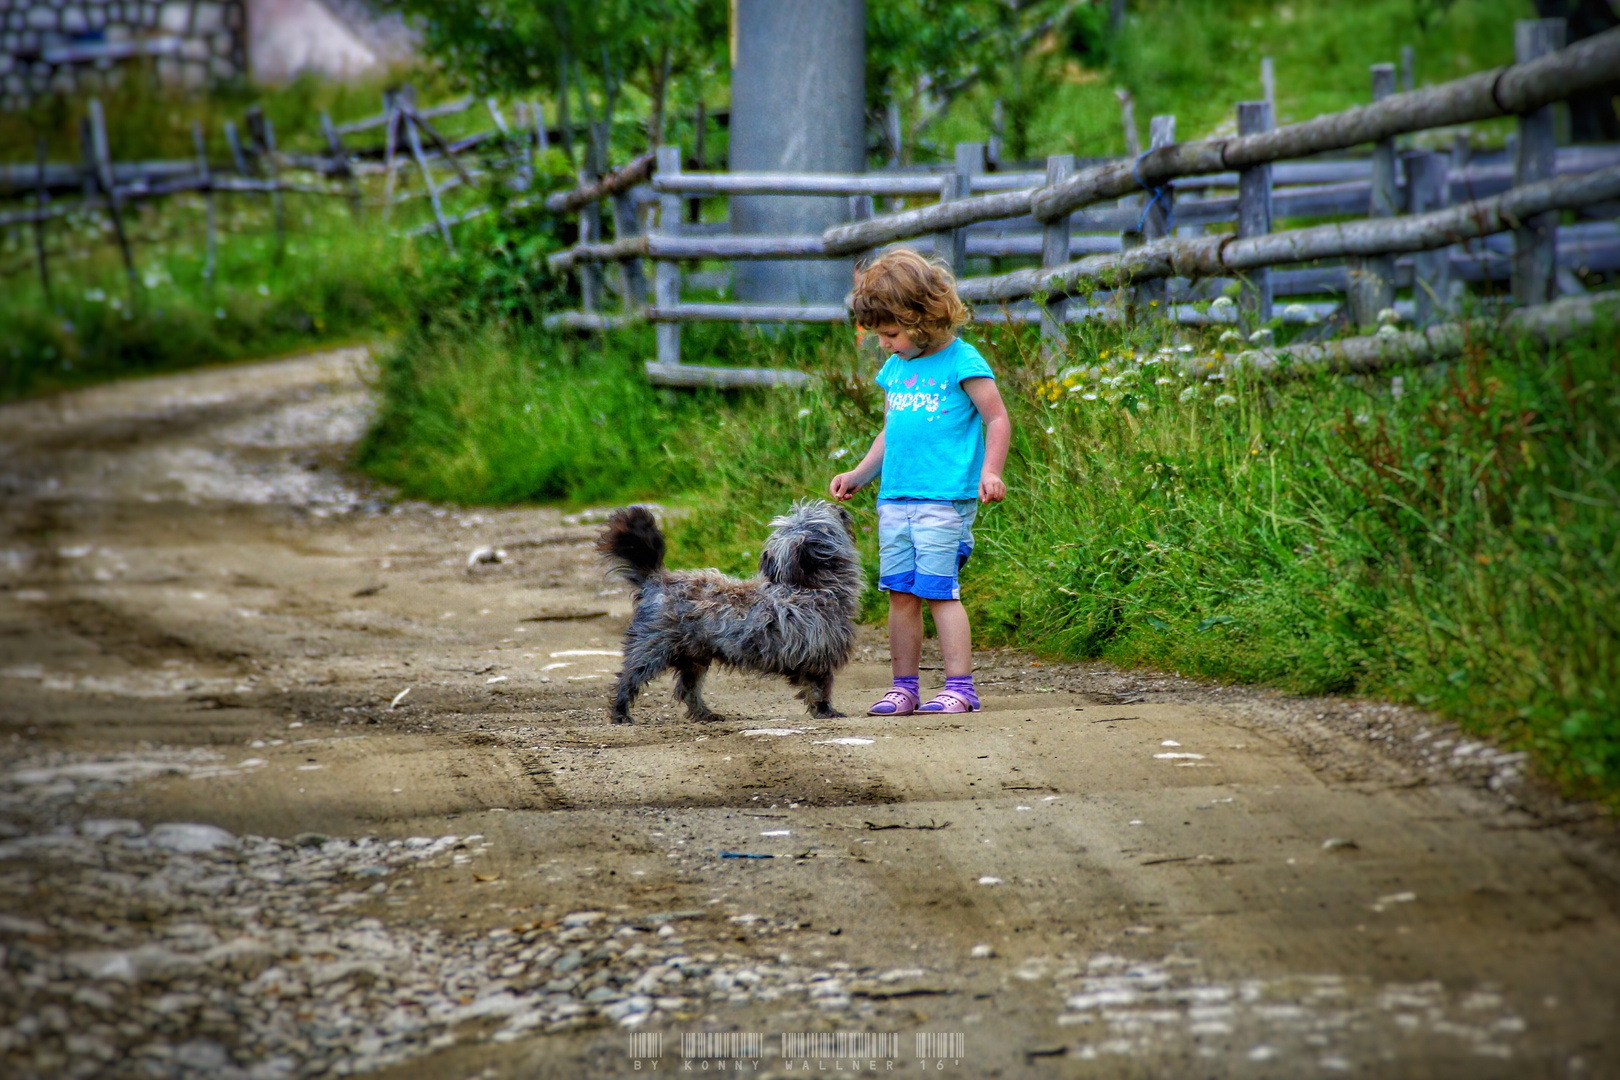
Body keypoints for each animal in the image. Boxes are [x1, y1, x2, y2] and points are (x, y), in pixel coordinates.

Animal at [596, 501, 868, 725]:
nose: (840, 508)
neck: (810, 585)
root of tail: (655, 580)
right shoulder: (819, 655)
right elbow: (820, 688)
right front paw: (825, 711)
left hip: (694, 657)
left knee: (687, 689)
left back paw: (705, 714)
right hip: (651, 648)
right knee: (628, 679)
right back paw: (621, 714)